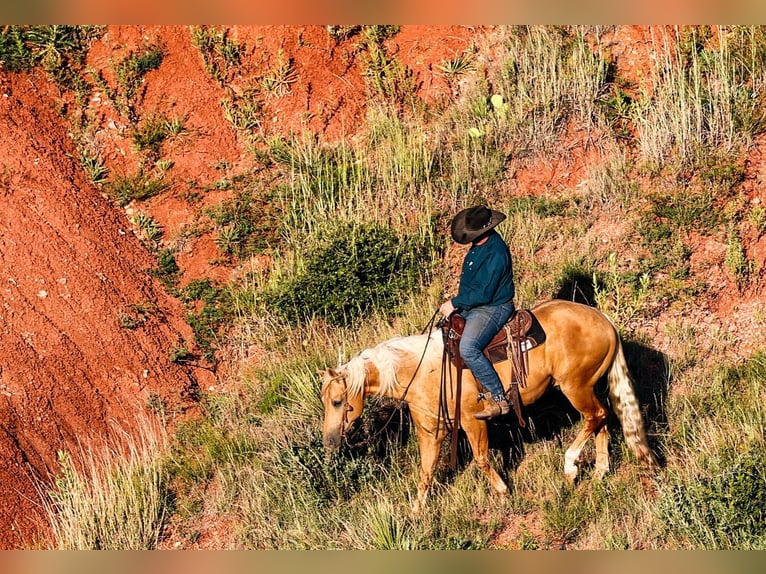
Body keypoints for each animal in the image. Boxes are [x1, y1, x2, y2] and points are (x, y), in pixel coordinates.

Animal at [319, 299, 657, 512]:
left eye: (337, 401)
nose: (330, 442)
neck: (422, 371)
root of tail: (604, 320)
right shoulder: (431, 433)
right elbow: (426, 471)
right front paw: (416, 511)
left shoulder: (473, 421)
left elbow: (481, 459)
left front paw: (503, 491)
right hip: (588, 386)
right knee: (601, 418)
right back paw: (600, 471)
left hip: (574, 386)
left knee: (594, 417)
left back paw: (570, 465)